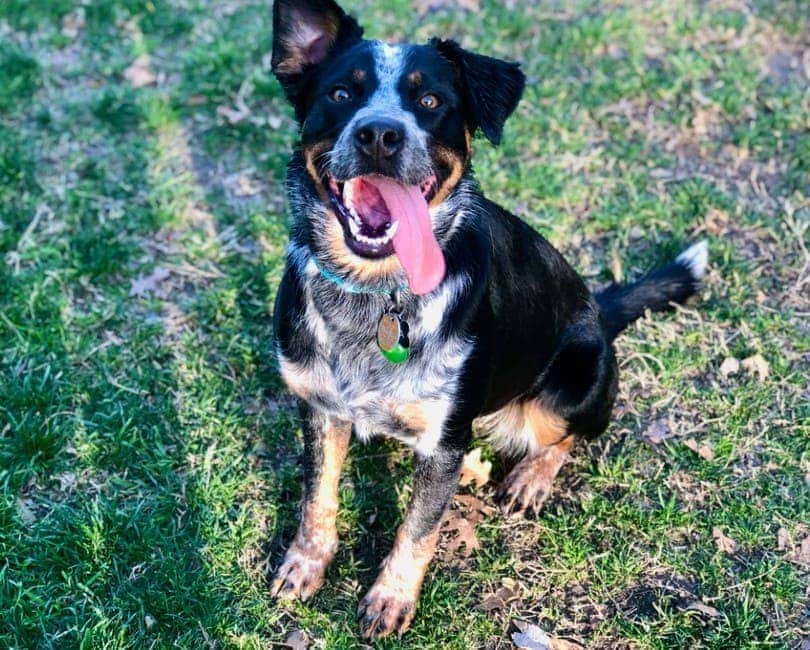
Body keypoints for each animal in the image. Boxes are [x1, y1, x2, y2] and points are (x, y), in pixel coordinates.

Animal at [266, 0, 708, 636]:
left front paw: (391, 598)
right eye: (341, 93)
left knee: (569, 434)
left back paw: (530, 479)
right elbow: (317, 499)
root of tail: (599, 312)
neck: (377, 294)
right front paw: (304, 565)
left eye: (430, 102)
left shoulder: (446, 441)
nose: (379, 134)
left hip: (568, 385)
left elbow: (417, 530)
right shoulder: (322, 409)